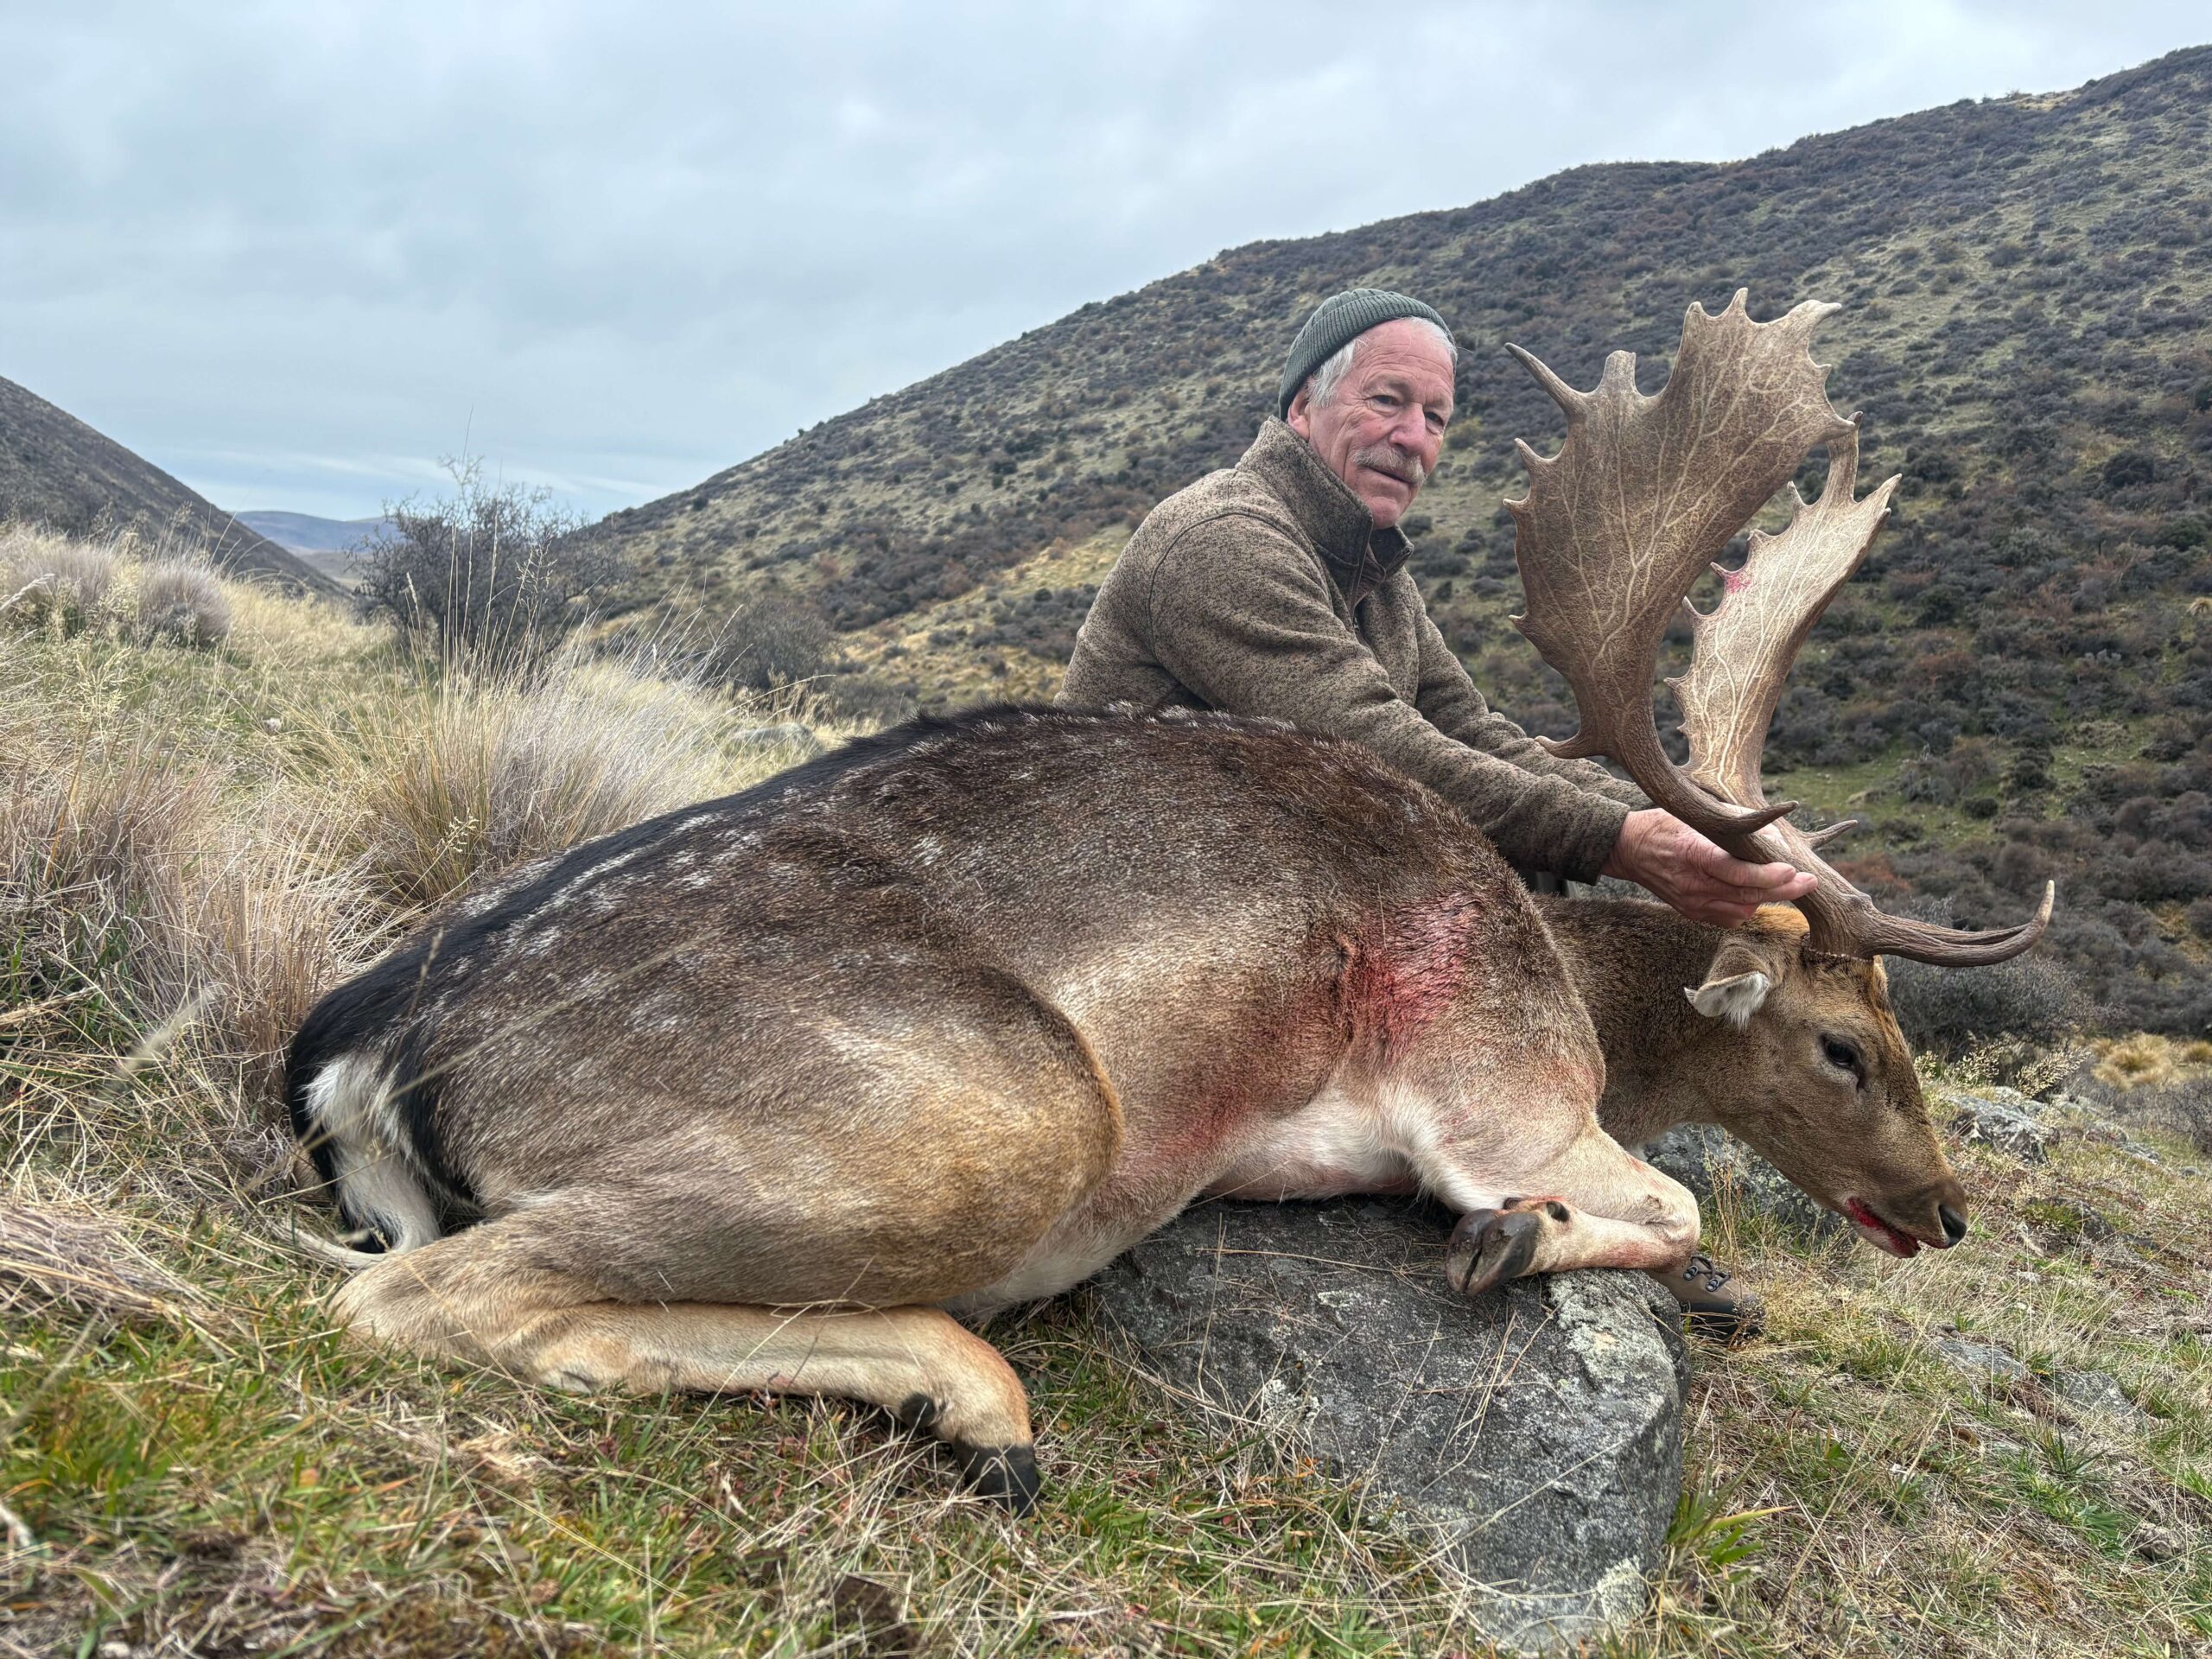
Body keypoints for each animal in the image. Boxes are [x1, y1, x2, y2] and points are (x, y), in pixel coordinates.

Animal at [285, 293, 2051, 1509]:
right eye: (1841, 1045)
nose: (1947, 1212)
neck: (1578, 981)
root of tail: (356, 1060)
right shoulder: (1500, 1093)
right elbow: (1668, 1205)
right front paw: (1511, 1244)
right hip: (1006, 1121)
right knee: (410, 1295)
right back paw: (983, 1404)